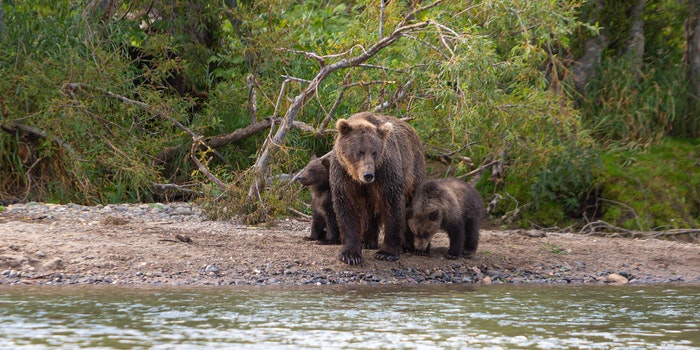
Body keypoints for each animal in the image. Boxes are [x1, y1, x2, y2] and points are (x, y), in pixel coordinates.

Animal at [330, 112, 424, 266]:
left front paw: (387, 253)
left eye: (374, 152)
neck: (356, 175)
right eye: (360, 151)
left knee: (412, 205)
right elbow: (347, 207)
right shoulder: (342, 174)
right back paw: (368, 241)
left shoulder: (386, 171)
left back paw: (407, 245)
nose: (368, 175)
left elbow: (393, 206)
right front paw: (350, 255)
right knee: (369, 212)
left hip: (413, 170)